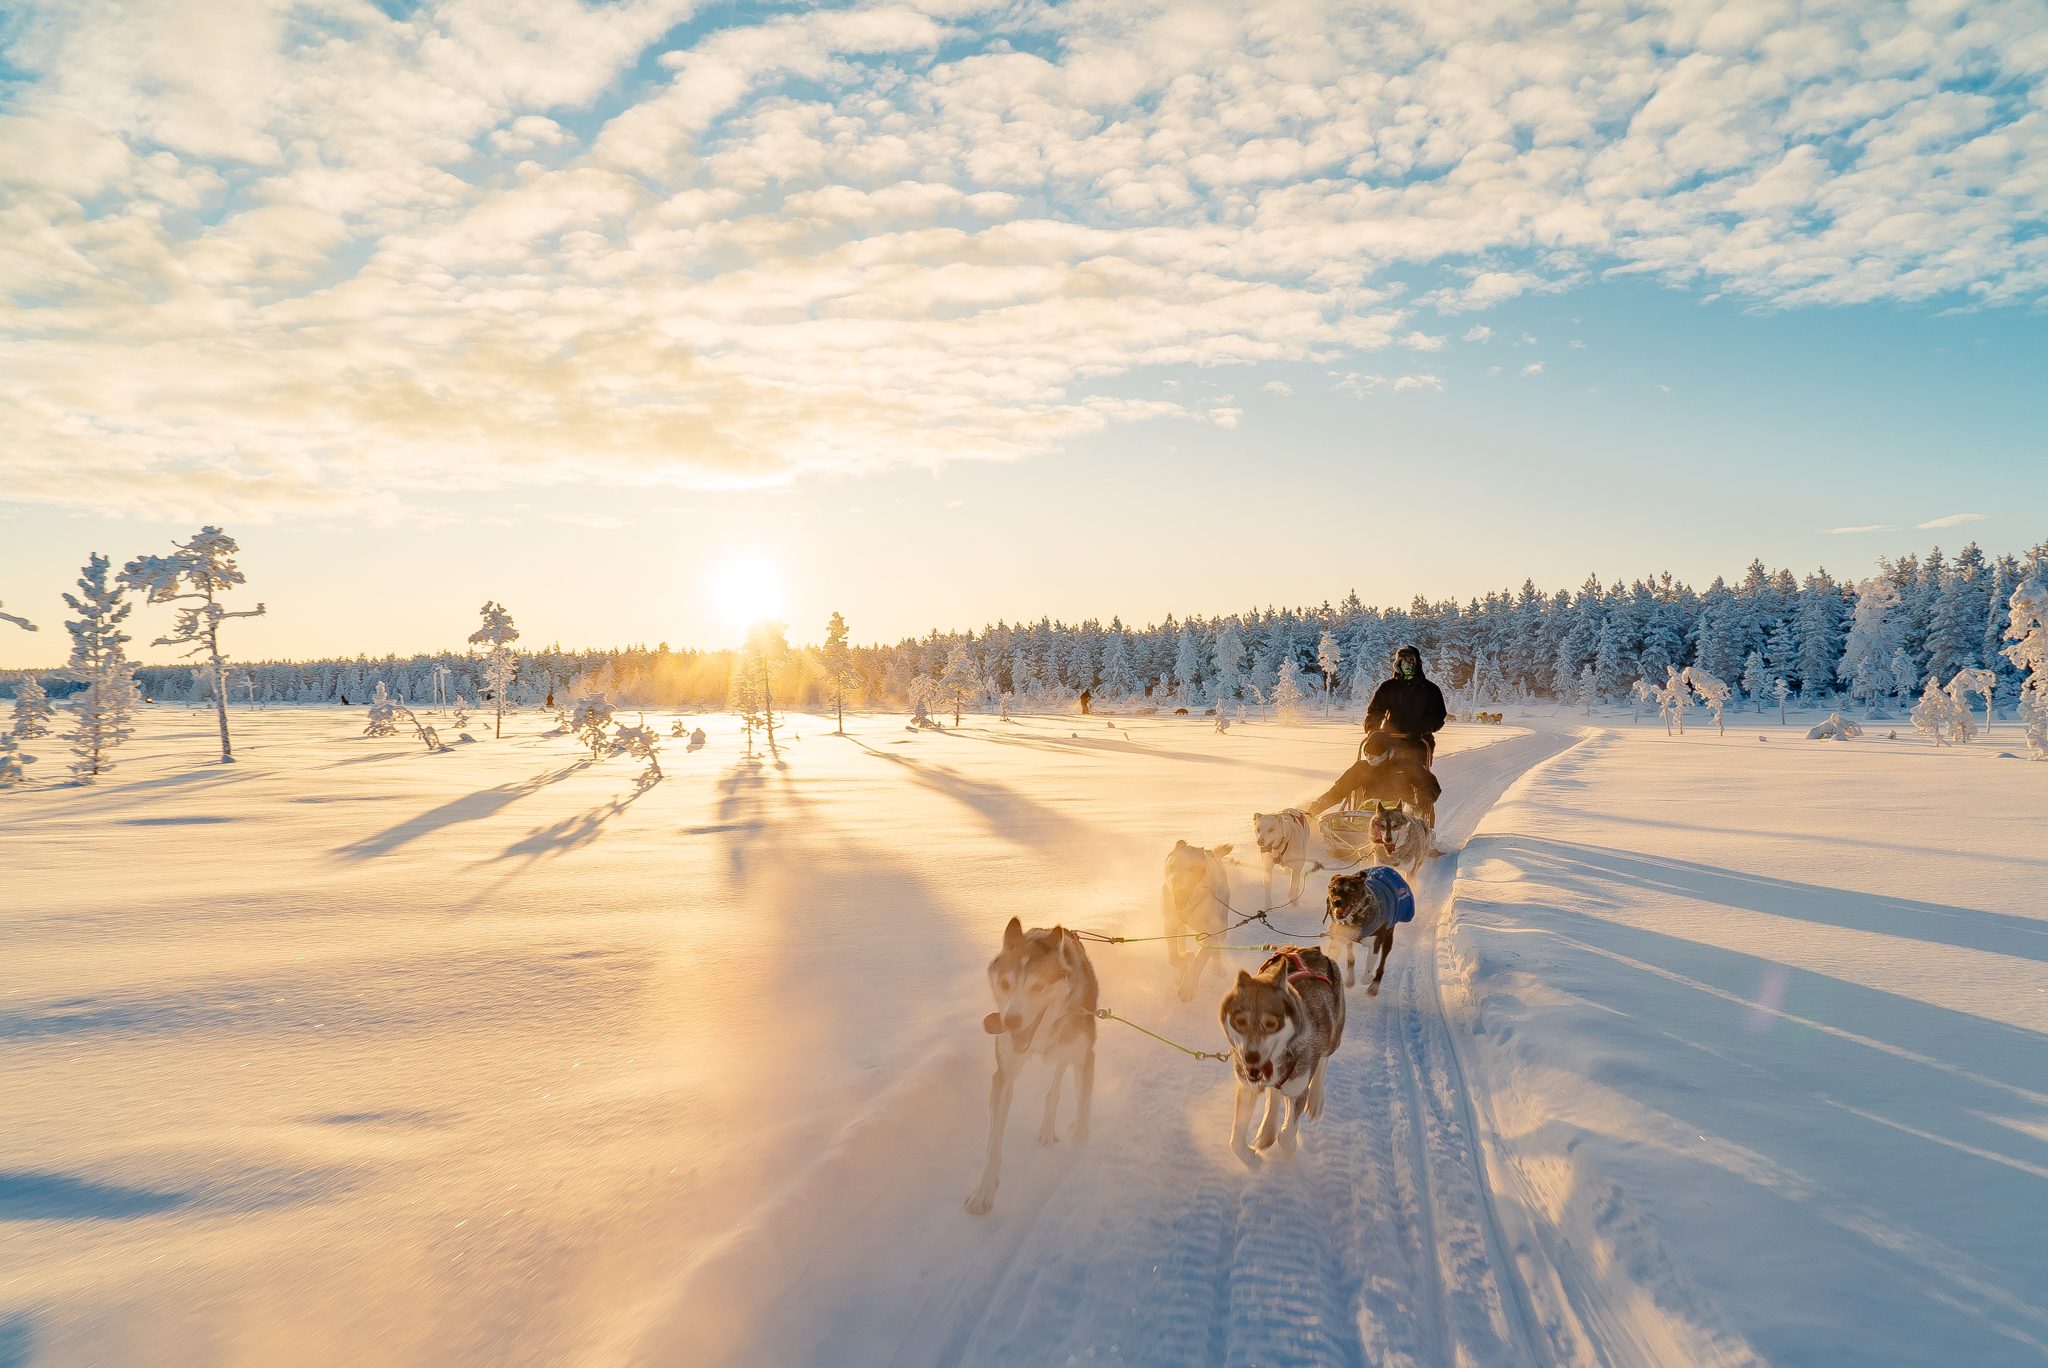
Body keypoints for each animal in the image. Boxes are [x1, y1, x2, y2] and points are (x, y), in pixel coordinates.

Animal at [966, 913, 1097, 1212]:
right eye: (1005, 984)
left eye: (1038, 986)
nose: (1010, 1021)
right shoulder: (1003, 1075)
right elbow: (993, 1143)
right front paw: (984, 1191)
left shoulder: (1085, 1057)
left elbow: (1083, 1113)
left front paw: (1079, 1144)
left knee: (1058, 1082)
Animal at [1171, 839, 1228, 999]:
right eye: (1172, 865)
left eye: (1192, 868)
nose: (1176, 881)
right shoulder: (1170, 924)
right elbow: (1174, 956)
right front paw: (1185, 958)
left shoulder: (1212, 935)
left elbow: (1199, 960)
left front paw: (1188, 987)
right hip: (1183, 929)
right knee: (1182, 943)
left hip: (1222, 930)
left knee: (1216, 953)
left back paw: (1217, 968)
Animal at [1212, 950, 1343, 1163]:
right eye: (1240, 1021)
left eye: (1271, 1024)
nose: (1251, 1057)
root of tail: (1315, 951)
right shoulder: (1247, 1087)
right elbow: (1235, 1142)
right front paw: (1253, 1160)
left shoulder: (1299, 1090)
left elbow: (1286, 1136)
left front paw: (1290, 1146)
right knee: (1274, 1094)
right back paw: (1267, 1130)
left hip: (1332, 1036)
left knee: (1323, 1060)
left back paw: (1316, 1099)